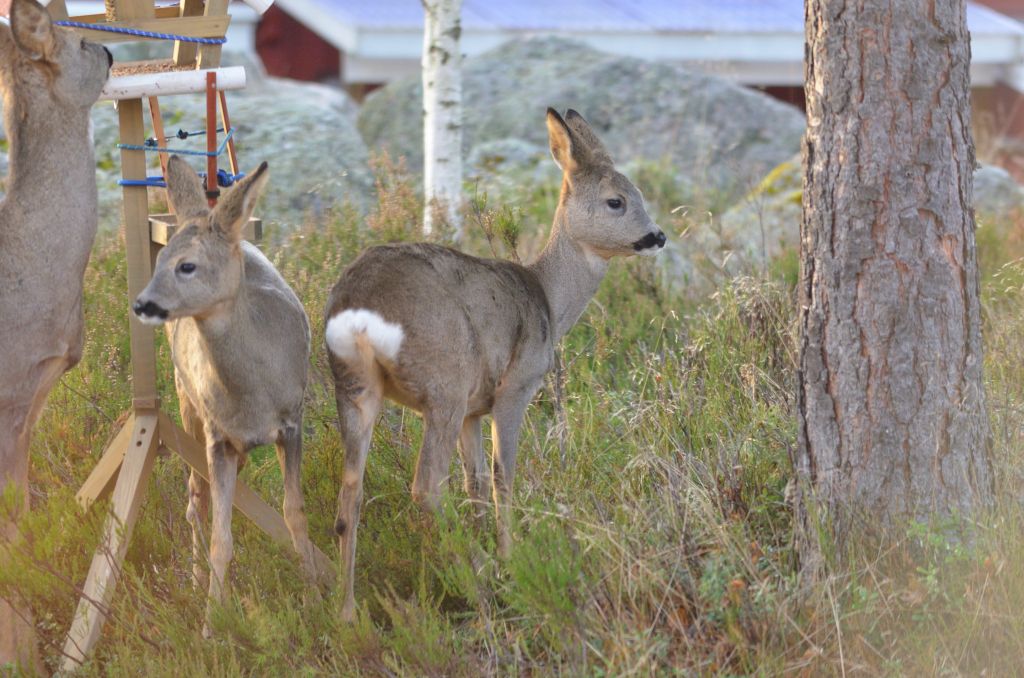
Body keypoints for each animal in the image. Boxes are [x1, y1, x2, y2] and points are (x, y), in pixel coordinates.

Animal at [323, 107, 667, 622]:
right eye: (616, 201)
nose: (657, 236)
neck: (549, 301)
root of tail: (358, 311)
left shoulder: (473, 409)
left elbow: (477, 483)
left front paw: (489, 538)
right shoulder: (514, 387)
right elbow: (505, 475)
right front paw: (510, 555)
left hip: (356, 388)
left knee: (351, 494)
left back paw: (347, 613)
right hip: (443, 382)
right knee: (425, 488)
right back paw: (478, 576)